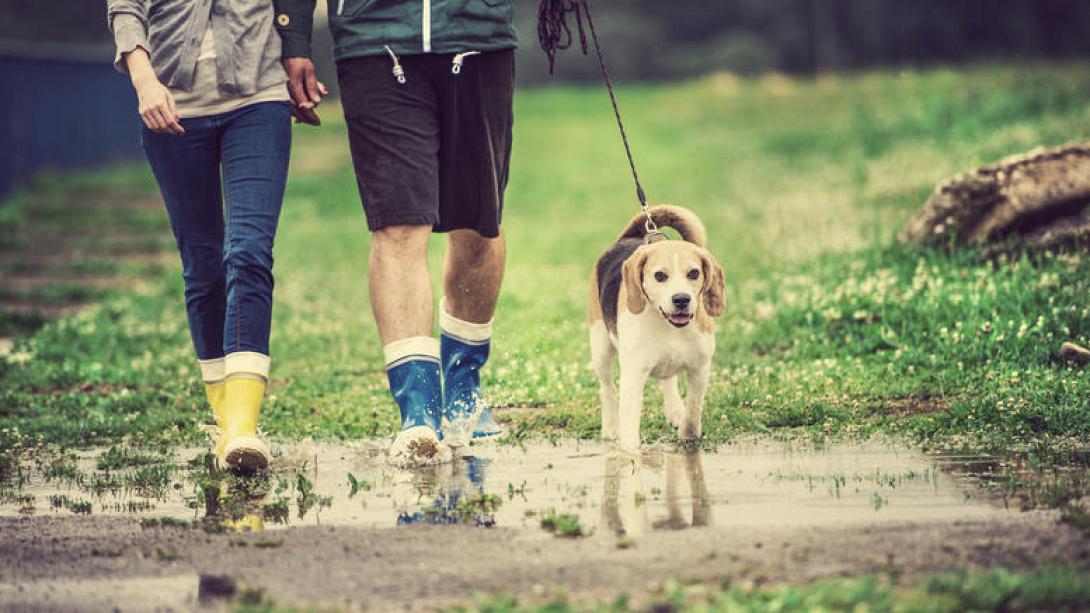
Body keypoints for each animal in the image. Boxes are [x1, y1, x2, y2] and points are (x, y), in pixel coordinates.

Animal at [588, 207, 723, 451]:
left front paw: (688, 435)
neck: (670, 327)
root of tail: (628, 238)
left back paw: (675, 411)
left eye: (694, 273)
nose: (681, 299)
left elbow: (693, 409)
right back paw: (610, 428)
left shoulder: (700, 367)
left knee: (668, 380)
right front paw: (630, 452)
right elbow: (630, 426)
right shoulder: (634, 374)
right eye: (660, 276)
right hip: (600, 348)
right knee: (607, 389)